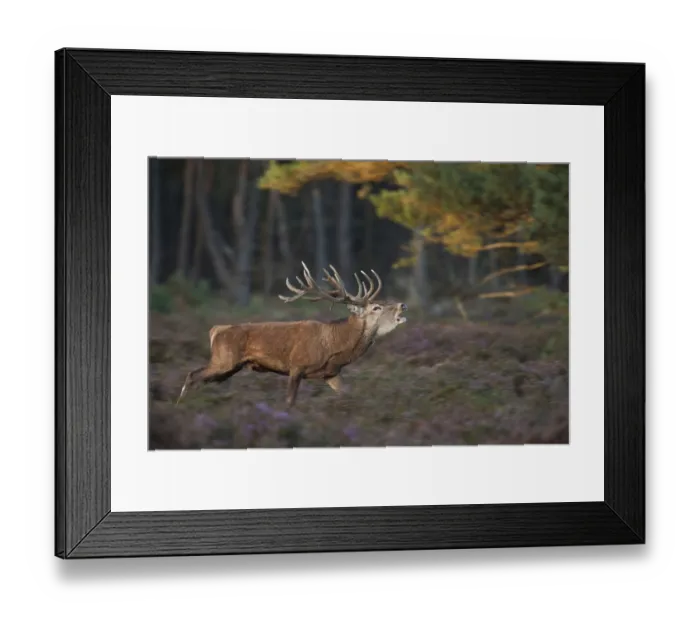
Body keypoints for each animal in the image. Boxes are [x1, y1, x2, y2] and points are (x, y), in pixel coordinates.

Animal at [176, 262, 408, 408]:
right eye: (377, 307)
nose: (402, 305)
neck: (335, 346)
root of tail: (215, 330)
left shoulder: (331, 373)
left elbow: (346, 394)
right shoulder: (297, 365)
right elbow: (290, 402)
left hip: (228, 367)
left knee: (198, 379)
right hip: (224, 360)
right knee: (192, 375)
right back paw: (181, 406)